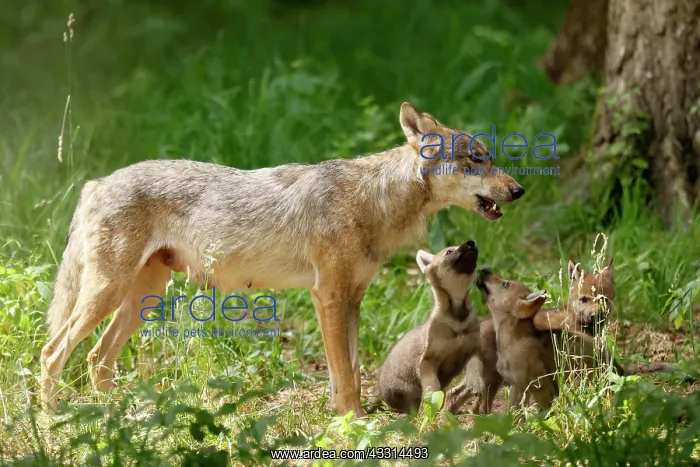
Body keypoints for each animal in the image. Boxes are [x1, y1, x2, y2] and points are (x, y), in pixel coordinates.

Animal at [377, 241, 481, 414]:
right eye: (449, 252)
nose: (471, 242)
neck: (458, 318)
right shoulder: (428, 360)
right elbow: (433, 386)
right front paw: (432, 403)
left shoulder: (473, 349)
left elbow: (475, 368)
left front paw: (476, 383)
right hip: (409, 393)